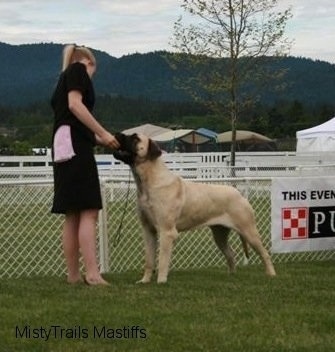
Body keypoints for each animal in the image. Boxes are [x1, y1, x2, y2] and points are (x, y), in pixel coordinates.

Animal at [114, 132, 276, 284]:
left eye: (135, 138)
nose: (117, 134)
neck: (148, 181)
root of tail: (239, 194)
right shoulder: (148, 230)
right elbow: (149, 260)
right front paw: (145, 281)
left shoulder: (167, 231)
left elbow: (162, 261)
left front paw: (161, 281)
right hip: (220, 234)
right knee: (230, 253)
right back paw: (231, 276)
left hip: (249, 231)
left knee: (264, 254)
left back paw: (271, 274)